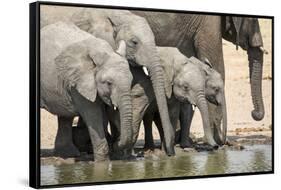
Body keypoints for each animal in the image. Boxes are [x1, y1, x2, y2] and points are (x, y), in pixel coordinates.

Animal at [40, 21, 132, 162]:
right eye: (108, 83)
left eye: (132, 81)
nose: (116, 142)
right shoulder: (79, 82)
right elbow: (93, 114)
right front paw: (102, 162)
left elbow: (108, 113)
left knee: (65, 116)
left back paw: (68, 155)